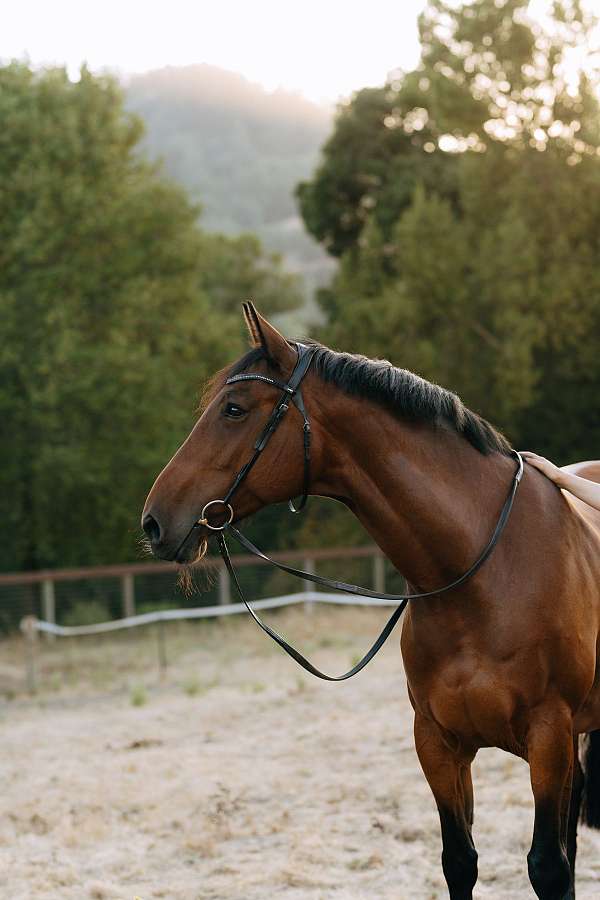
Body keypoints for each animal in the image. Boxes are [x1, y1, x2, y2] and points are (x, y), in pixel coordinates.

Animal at [139, 304, 600, 900]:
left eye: (234, 409)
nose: (154, 521)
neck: (485, 573)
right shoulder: (438, 743)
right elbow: (460, 860)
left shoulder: (548, 739)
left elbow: (548, 866)